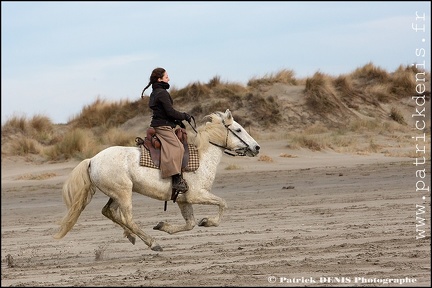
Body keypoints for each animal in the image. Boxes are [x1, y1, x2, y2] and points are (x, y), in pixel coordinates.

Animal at [52, 109, 258, 251]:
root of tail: (92, 160)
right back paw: (152, 243)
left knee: (109, 212)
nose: (257, 147)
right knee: (128, 218)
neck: (201, 157)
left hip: (117, 194)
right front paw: (208, 222)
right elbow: (222, 203)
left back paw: (132, 237)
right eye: (238, 129)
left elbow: (190, 224)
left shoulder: (183, 200)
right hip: (123, 193)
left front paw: (163, 226)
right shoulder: (197, 195)